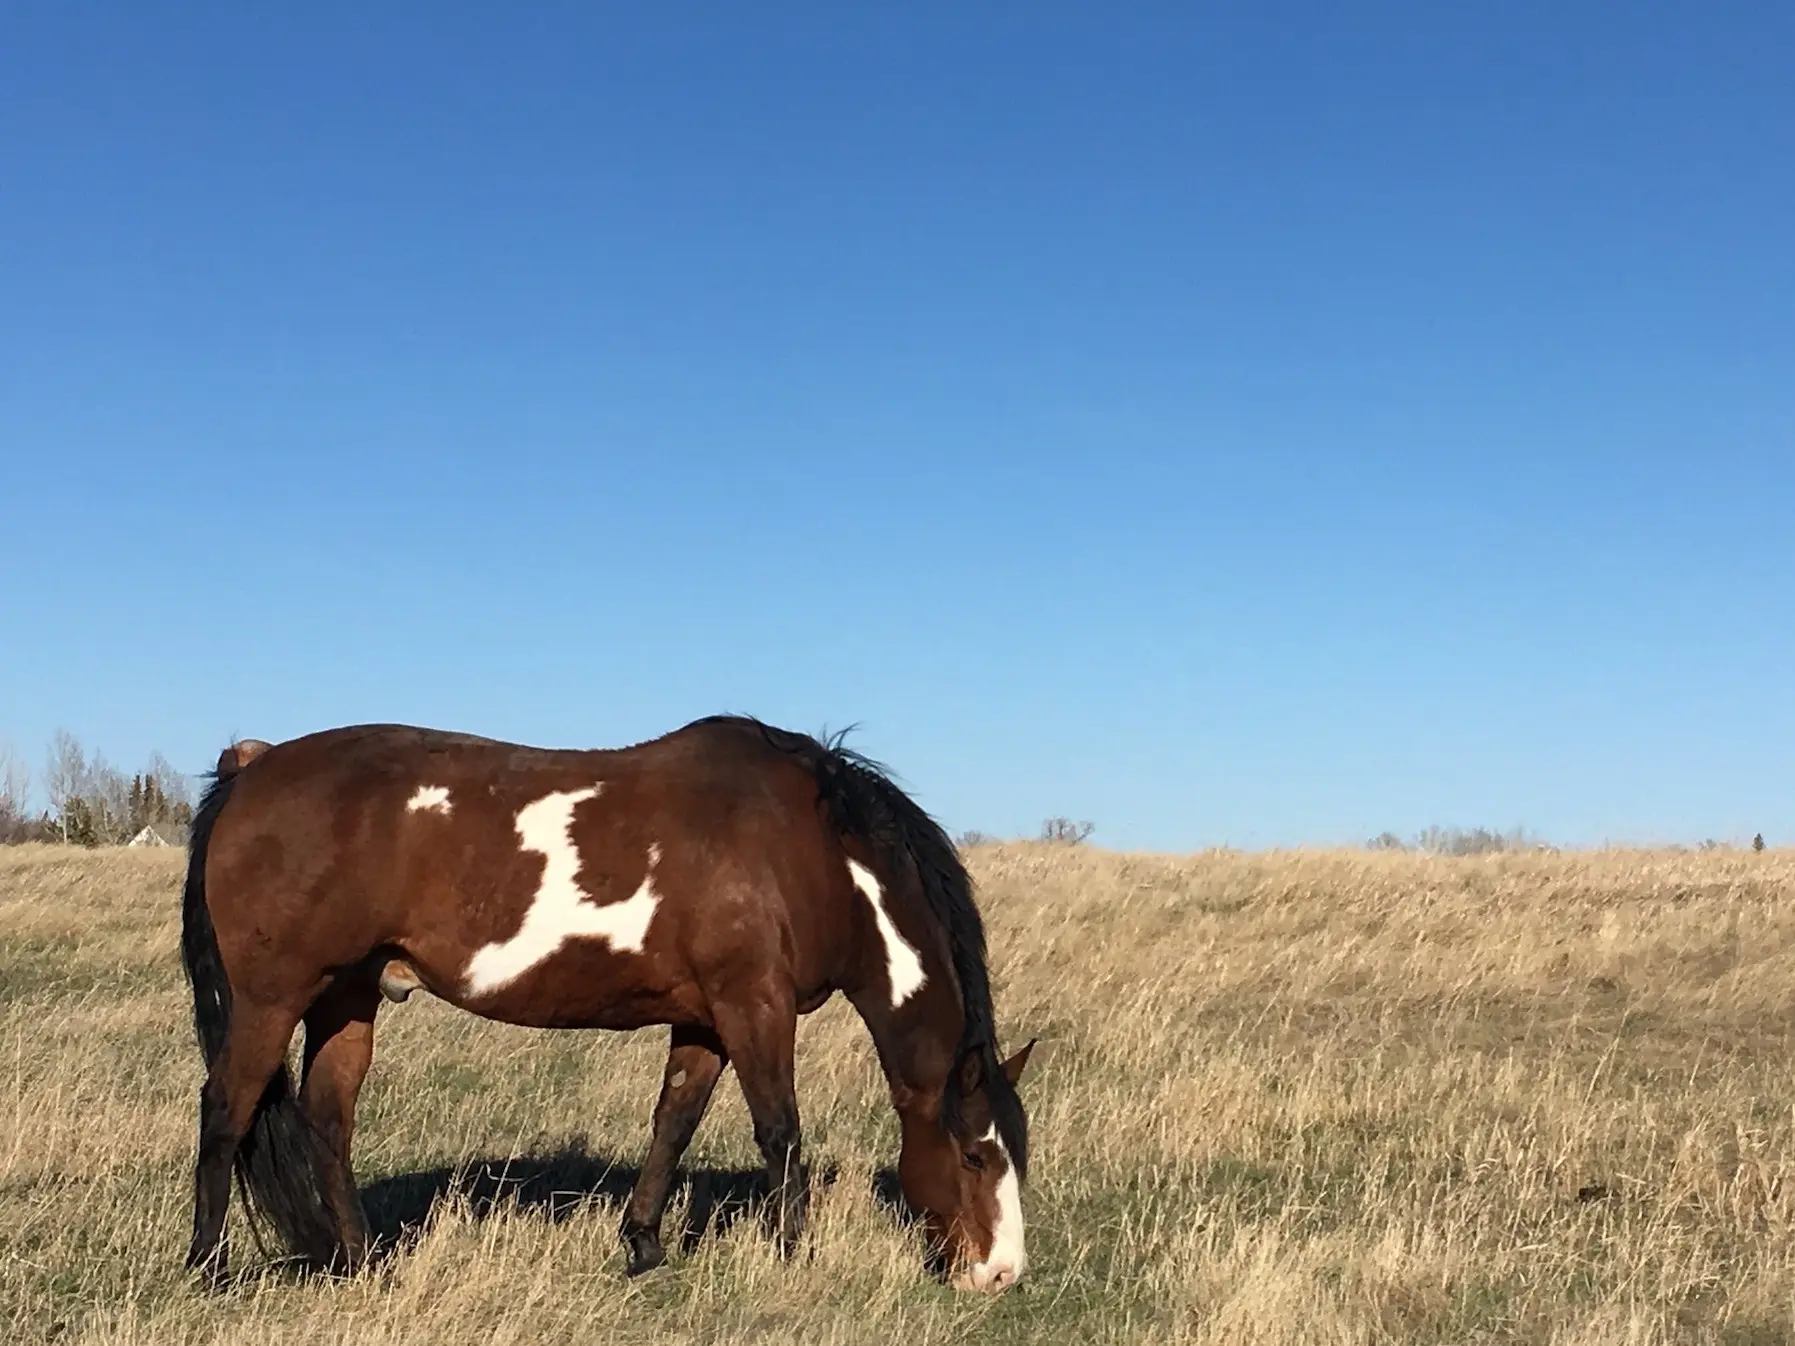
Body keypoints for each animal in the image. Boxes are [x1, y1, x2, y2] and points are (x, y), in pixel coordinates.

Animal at [182, 717, 1041, 1299]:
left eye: (1016, 1154)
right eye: (974, 1155)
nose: (999, 1274)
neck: (807, 852)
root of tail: (252, 768)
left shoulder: (704, 1019)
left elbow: (674, 1121)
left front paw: (643, 1246)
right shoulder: (754, 1007)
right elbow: (780, 1133)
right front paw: (794, 1257)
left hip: (348, 997)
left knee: (328, 1119)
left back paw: (363, 1262)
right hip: (272, 998)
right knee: (226, 1109)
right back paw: (208, 1268)